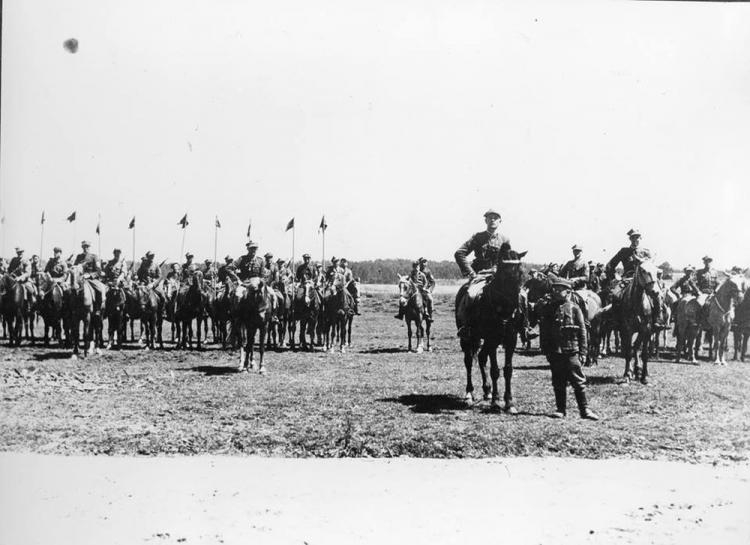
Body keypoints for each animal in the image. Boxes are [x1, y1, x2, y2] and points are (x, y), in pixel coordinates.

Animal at [452, 246, 528, 408]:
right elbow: (494, 370)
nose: (515, 306)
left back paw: (487, 390)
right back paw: (470, 393)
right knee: (469, 361)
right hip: (468, 338)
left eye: (520, 272)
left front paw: (508, 402)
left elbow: (508, 369)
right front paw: (496, 400)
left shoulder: (511, 338)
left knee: (481, 357)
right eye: (503, 272)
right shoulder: (492, 338)